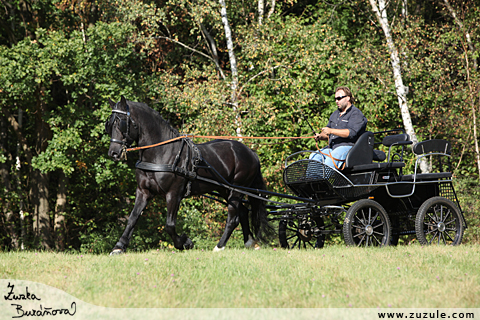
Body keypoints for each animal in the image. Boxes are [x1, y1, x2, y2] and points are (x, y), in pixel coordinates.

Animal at [105, 96, 272, 254]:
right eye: (109, 124)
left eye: (120, 123)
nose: (113, 153)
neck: (161, 153)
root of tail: (251, 152)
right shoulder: (143, 191)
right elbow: (132, 218)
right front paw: (119, 247)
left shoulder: (174, 193)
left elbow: (169, 225)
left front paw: (185, 243)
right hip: (225, 190)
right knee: (242, 212)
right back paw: (249, 242)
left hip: (237, 189)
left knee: (233, 218)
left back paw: (219, 246)